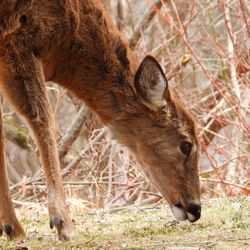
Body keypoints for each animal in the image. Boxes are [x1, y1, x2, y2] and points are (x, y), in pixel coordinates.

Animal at [0, 0, 201, 241]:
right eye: (186, 144)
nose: (196, 208)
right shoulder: (17, 39)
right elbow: (43, 121)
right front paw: (63, 224)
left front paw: (11, 227)